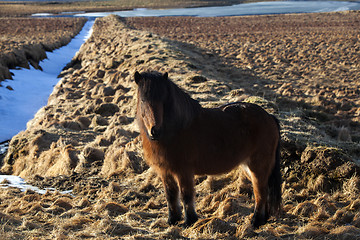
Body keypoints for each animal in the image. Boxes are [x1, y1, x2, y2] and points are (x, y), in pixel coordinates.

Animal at [134, 70, 282, 228]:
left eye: (163, 101)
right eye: (143, 100)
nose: (155, 131)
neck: (177, 129)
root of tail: (270, 117)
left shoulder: (184, 171)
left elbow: (186, 196)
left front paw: (190, 221)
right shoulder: (165, 172)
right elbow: (171, 195)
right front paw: (173, 220)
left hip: (258, 167)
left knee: (260, 192)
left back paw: (255, 222)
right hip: (249, 168)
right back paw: (262, 220)